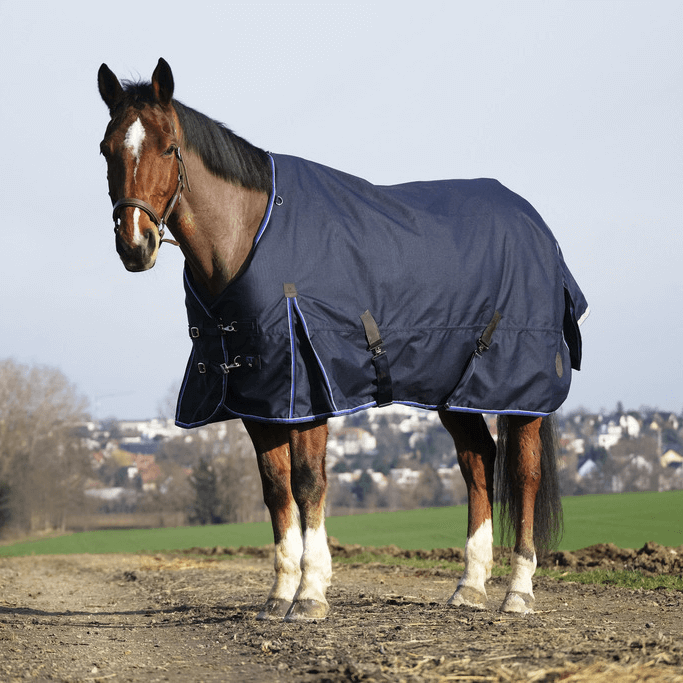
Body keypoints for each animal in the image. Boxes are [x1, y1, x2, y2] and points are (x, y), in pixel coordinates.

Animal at [98, 58, 588, 622]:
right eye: (107, 148)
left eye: (168, 147)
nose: (135, 244)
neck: (251, 235)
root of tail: (538, 227)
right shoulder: (260, 397)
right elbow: (275, 489)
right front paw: (279, 594)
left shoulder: (309, 389)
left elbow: (309, 482)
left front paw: (311, 593)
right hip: (455, 391)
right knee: (478, 464)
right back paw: (469, 585)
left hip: (518, 389)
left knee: (524, 475)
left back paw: (518, 591)